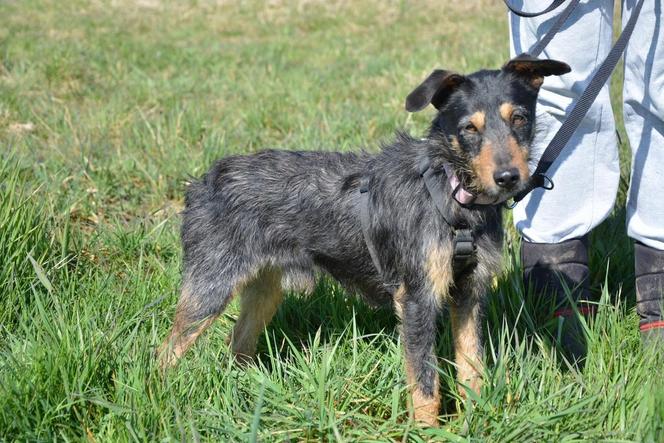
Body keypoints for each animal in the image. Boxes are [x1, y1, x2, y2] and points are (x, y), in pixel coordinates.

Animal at [158, 54, 568, 426]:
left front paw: (477, 418)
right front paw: (429, 432)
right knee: (165, 352)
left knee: (238, 343)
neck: (452, 193)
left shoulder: (469, 292)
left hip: (264, 290)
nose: (508, 177)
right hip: (209, 288)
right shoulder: (417, 298)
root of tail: (201, 183)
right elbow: (425, 384)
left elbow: (472, 367)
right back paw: (160, 392)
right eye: (470, 128)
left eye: (519, 118)